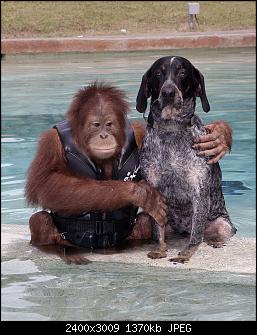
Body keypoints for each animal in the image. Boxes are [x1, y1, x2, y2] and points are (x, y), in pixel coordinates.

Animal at [136, 56, 236, 264]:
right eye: (158, 73)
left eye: (182, 72)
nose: (168, 92)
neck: (172, 129)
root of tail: (181, 231)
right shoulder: (154, 191)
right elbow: (159, 231)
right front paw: (160, 249)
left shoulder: (199, 192)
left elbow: (196, 235)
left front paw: (187, 252)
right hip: (144, 219)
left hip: (222, 225)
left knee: (208, 235)